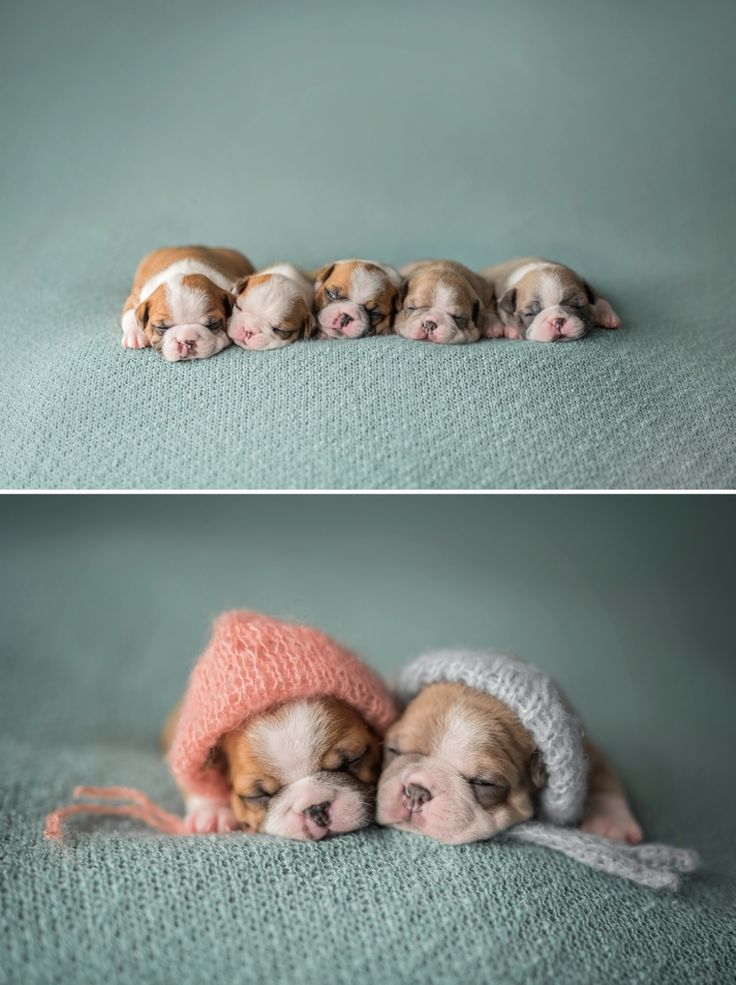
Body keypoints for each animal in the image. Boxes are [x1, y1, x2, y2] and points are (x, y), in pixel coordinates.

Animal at [118, 245, 250, 362]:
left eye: (213, 324)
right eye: (161, 327)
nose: (186, 340)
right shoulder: (137, 296)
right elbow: (130, 314)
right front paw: (135, 335)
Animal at [376, 684, 640, 844]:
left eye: (485, 783)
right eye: (393, 750)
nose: (416, 792)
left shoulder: (581, 749)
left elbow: (601, 775)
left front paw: (611, 822)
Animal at [480, 258, 624, 342]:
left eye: (578, 306)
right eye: (530, 314)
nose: (558, 321)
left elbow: (599, 299)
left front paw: (608, 316)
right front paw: (513, 330)